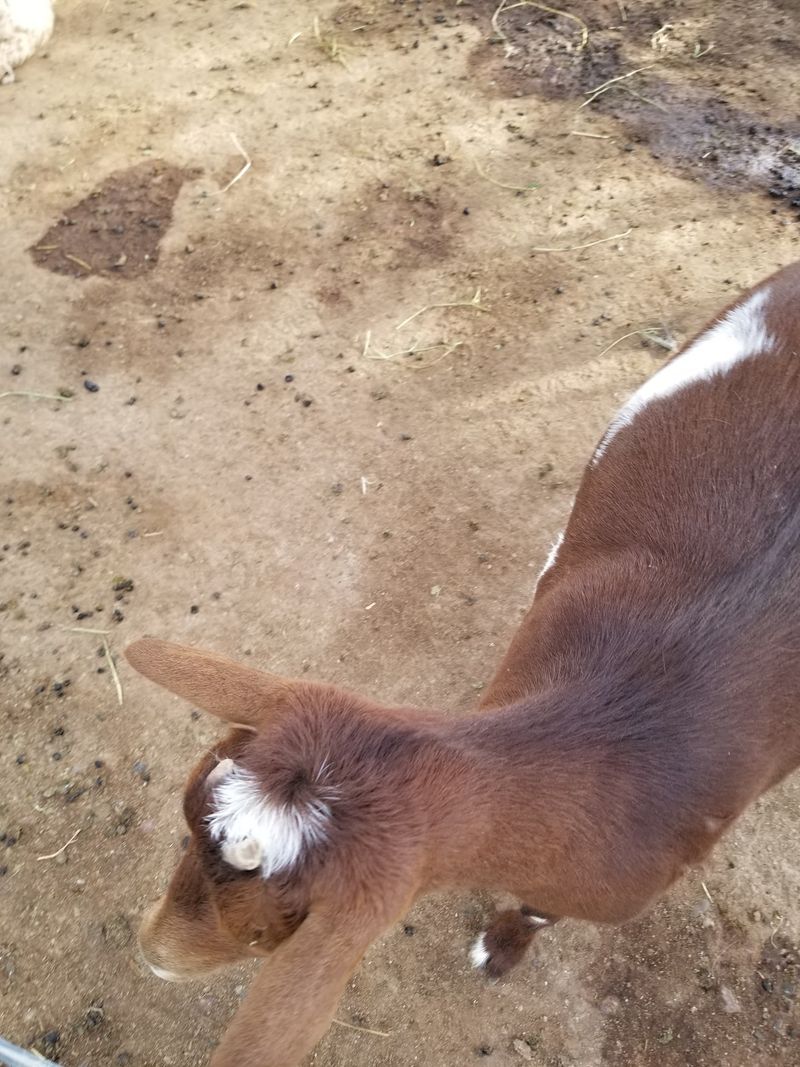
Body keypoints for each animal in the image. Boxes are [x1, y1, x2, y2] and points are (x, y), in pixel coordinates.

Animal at [126, 260, 800, 1066]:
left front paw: (499, 948)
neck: (604, 744)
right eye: (182, 837)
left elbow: (537, 913)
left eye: (264, 931)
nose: (151, 953)